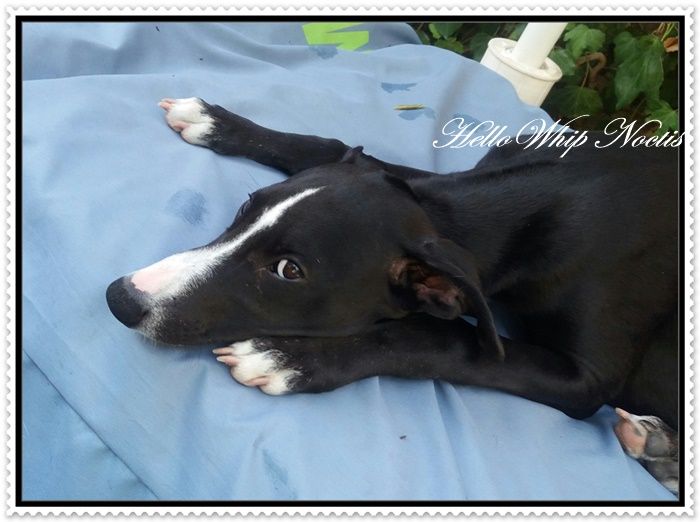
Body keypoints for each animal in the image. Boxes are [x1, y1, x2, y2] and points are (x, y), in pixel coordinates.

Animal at [106, 97, 680, 495]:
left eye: (289, 271)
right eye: (246, 208)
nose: (120, 298)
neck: (555, 197)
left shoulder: (586, 381)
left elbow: (443, 338)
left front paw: (288, 358)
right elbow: (339, 148)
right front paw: (220, 122)